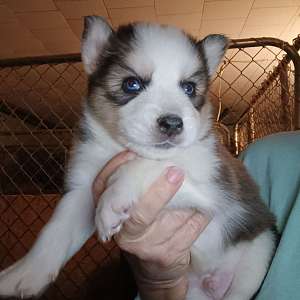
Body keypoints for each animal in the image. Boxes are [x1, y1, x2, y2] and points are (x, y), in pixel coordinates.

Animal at [0, 17, 276, 300]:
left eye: (189, 88)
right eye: (131, 84)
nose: (172, 123)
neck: (118, 147)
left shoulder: (212, 190)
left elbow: (145, 164)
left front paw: (113, 199)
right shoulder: (83, 190)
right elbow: (55, 230)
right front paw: (25, 273)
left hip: (256, 258)